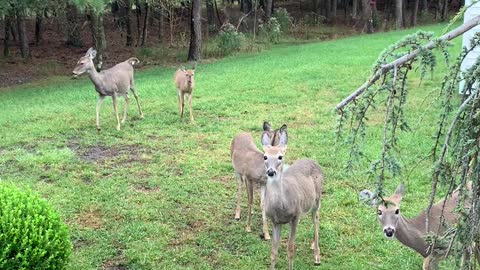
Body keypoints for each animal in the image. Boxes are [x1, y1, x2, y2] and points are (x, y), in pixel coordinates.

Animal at [260, 127, 324, 270]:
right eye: (265, 156)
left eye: (280, 156)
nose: (271, 172)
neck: (281, 206)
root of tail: (313, 160)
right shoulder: (275, 221)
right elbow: (273, 251)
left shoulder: (295, 216)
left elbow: (290, 249)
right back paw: (313, 245)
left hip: (317, 199)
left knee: (316, 220)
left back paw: (317, 256)